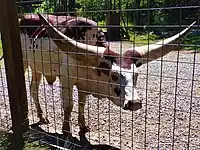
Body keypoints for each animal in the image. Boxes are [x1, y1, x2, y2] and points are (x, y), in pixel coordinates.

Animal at [19, 11, 195, 137]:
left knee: (33, 89)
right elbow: (69, 106)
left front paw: (83, 126)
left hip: (37, 68)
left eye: (136, 75)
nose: (134, 103)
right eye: (114, 76)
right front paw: (66, 130)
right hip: (24, 63)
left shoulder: (84, 84)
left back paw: (41, 116)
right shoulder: (67, 80)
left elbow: (81, 104)